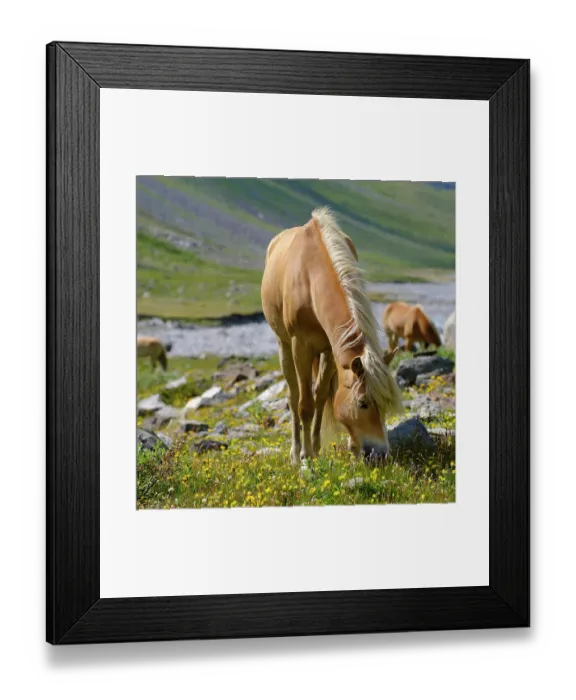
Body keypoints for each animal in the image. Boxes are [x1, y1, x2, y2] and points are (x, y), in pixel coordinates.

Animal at [261, 207, 403, 465]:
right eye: (363, 403)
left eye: (385, 404)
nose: (380, 455)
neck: (310, 278)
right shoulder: (300, 347)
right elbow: (304, 404)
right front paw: (306, 456)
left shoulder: (329, 348)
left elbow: (319, 397)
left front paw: (317, 448)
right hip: (284, 345)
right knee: (293, 395)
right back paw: (295, 452)